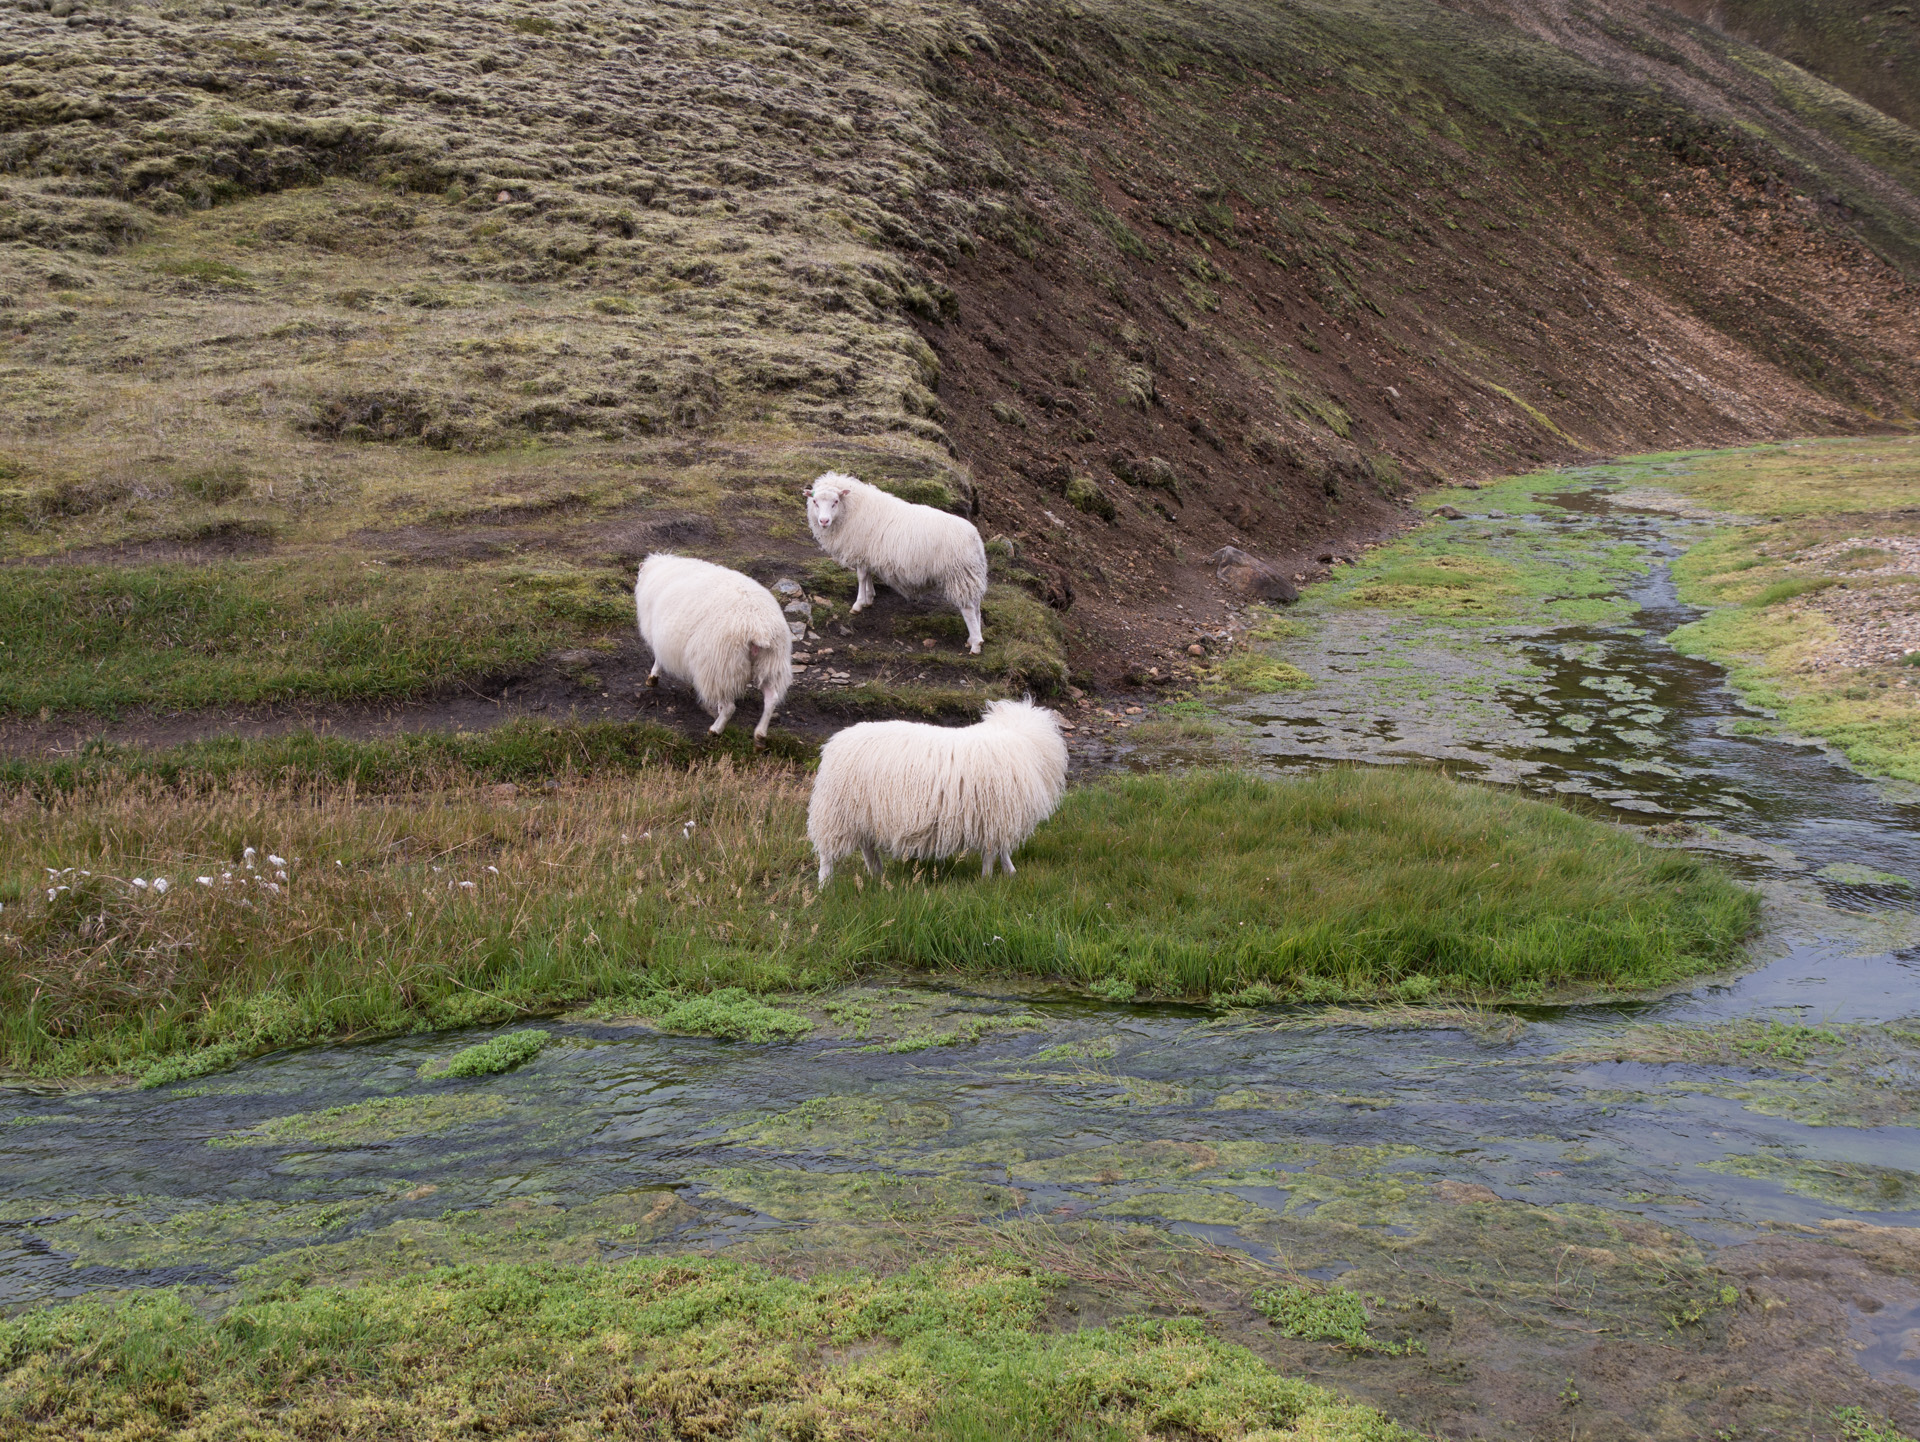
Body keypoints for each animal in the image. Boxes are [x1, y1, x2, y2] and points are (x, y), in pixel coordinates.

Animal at [633, 552, 791, 745]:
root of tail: (760, 629)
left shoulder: (661, 636)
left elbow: (658, 658)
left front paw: (653, 677)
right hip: (769, 663)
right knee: (771, 698)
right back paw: (760, 733)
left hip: (720, 665)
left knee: (730, 707)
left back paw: (715, 729)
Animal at [798, 695, 1067, 887]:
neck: (1023, 741)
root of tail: (835, 743)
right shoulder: (992, 814)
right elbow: (992, 852)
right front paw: (987, 880)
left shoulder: (995, 817)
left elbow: (1002, 849)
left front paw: (1010, 872)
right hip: (837, 812)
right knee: (827, 856)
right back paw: (825, 885)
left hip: (863, 813)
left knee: (867, 847)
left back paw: (876, 874)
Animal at [806, 470, 990, 656]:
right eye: (815, 502)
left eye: (835, 501)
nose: (823, 521)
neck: (853, 509)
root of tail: (975, 538)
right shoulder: (869, 555)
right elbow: (868, 576)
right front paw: (869, 597)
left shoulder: (861, 551)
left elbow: (861, 577)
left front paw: (858, 604)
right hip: (970, 575)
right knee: (976, 606)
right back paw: (972, 639)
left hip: (958, 575)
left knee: (968, 609)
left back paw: (976, 644)